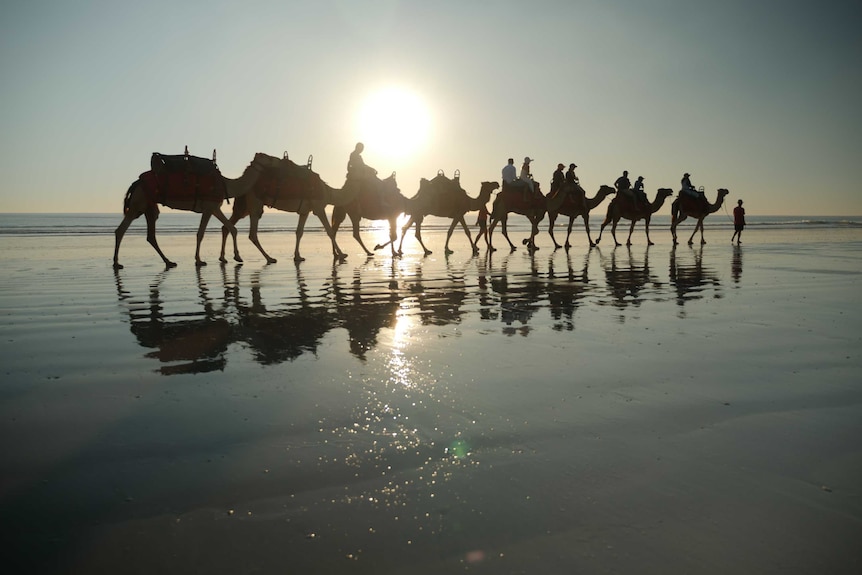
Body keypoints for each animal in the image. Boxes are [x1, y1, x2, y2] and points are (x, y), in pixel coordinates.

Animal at [114, 153, 280, 270]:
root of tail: (136, 183)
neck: (227, 185)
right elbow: (203, 233)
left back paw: (169, 262)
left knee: (149, 235)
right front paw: (201, 260)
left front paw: (233, 257)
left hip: (148, 205)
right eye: (268, 157)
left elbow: (230, 228)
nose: (278, 159)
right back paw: (117, 263)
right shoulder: (210, 207)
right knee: (121, 230)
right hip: (138, 203)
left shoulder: (214, 208)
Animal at [218, 155, 346, 268]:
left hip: (243, 206)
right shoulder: (318, 207)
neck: (328, 192)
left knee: (227, 227)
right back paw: (269, 258)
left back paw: (224, 258)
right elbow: (330, 232)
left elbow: (299, 232)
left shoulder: (304, 211)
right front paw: (342, 254)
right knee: (252, 233)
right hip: (255, 202)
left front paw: (298, 256)